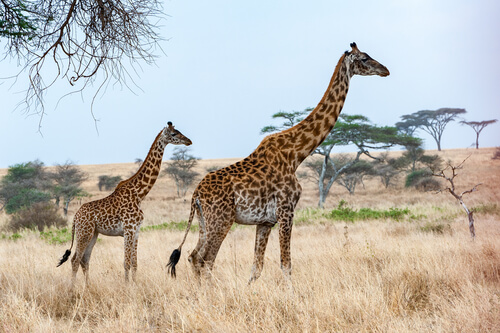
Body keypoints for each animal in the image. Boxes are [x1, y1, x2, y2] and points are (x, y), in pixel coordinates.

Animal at [57, 121, 191, 282]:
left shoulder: (136, 231)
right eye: (173, 134)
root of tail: (75, 218)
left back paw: (87, 286)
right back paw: (73, 288)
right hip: (84, 233)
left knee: (85, 259)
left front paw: (134, 284)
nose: (189, 141)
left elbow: (134, 263)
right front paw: (127, 286)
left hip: (93, 234)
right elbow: (126, 262)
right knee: (75, 260)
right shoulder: (128, 230)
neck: (139, 194)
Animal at [168, 42, 390, 282]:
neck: (296, 154)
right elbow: (286, 264)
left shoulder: (265, 221)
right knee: (205, 259)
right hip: (221, 220)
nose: (385, 70)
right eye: (365, 58)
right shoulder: (286, 210)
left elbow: (257, 267)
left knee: (193, 257)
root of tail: (196, 194)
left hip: (204, 221)